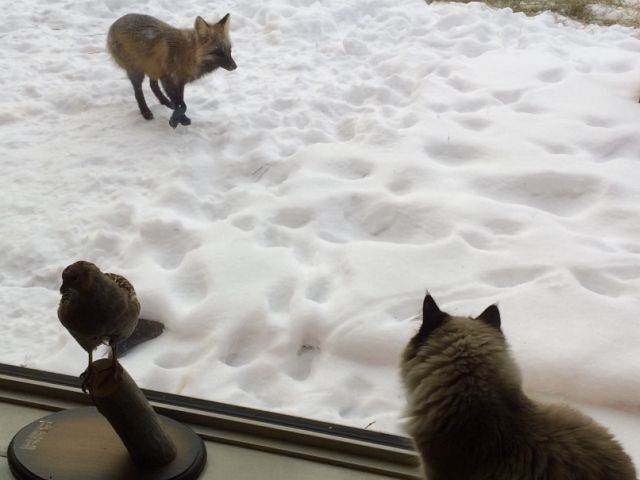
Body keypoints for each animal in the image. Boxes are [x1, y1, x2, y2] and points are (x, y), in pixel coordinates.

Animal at [107, 13, 237, 128]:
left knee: (153, 85)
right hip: (137, 72)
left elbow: (181, 103)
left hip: (154, 69)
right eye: (218, 52)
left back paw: (165, 101)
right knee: (138, 92)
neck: (187, 55)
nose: (235, 66)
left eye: (229, 50)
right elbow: (182, 105)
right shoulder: (168, 79)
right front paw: (175, 121)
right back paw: (146, 112)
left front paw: (181, 119)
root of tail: (114, 24)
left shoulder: (179, 82)